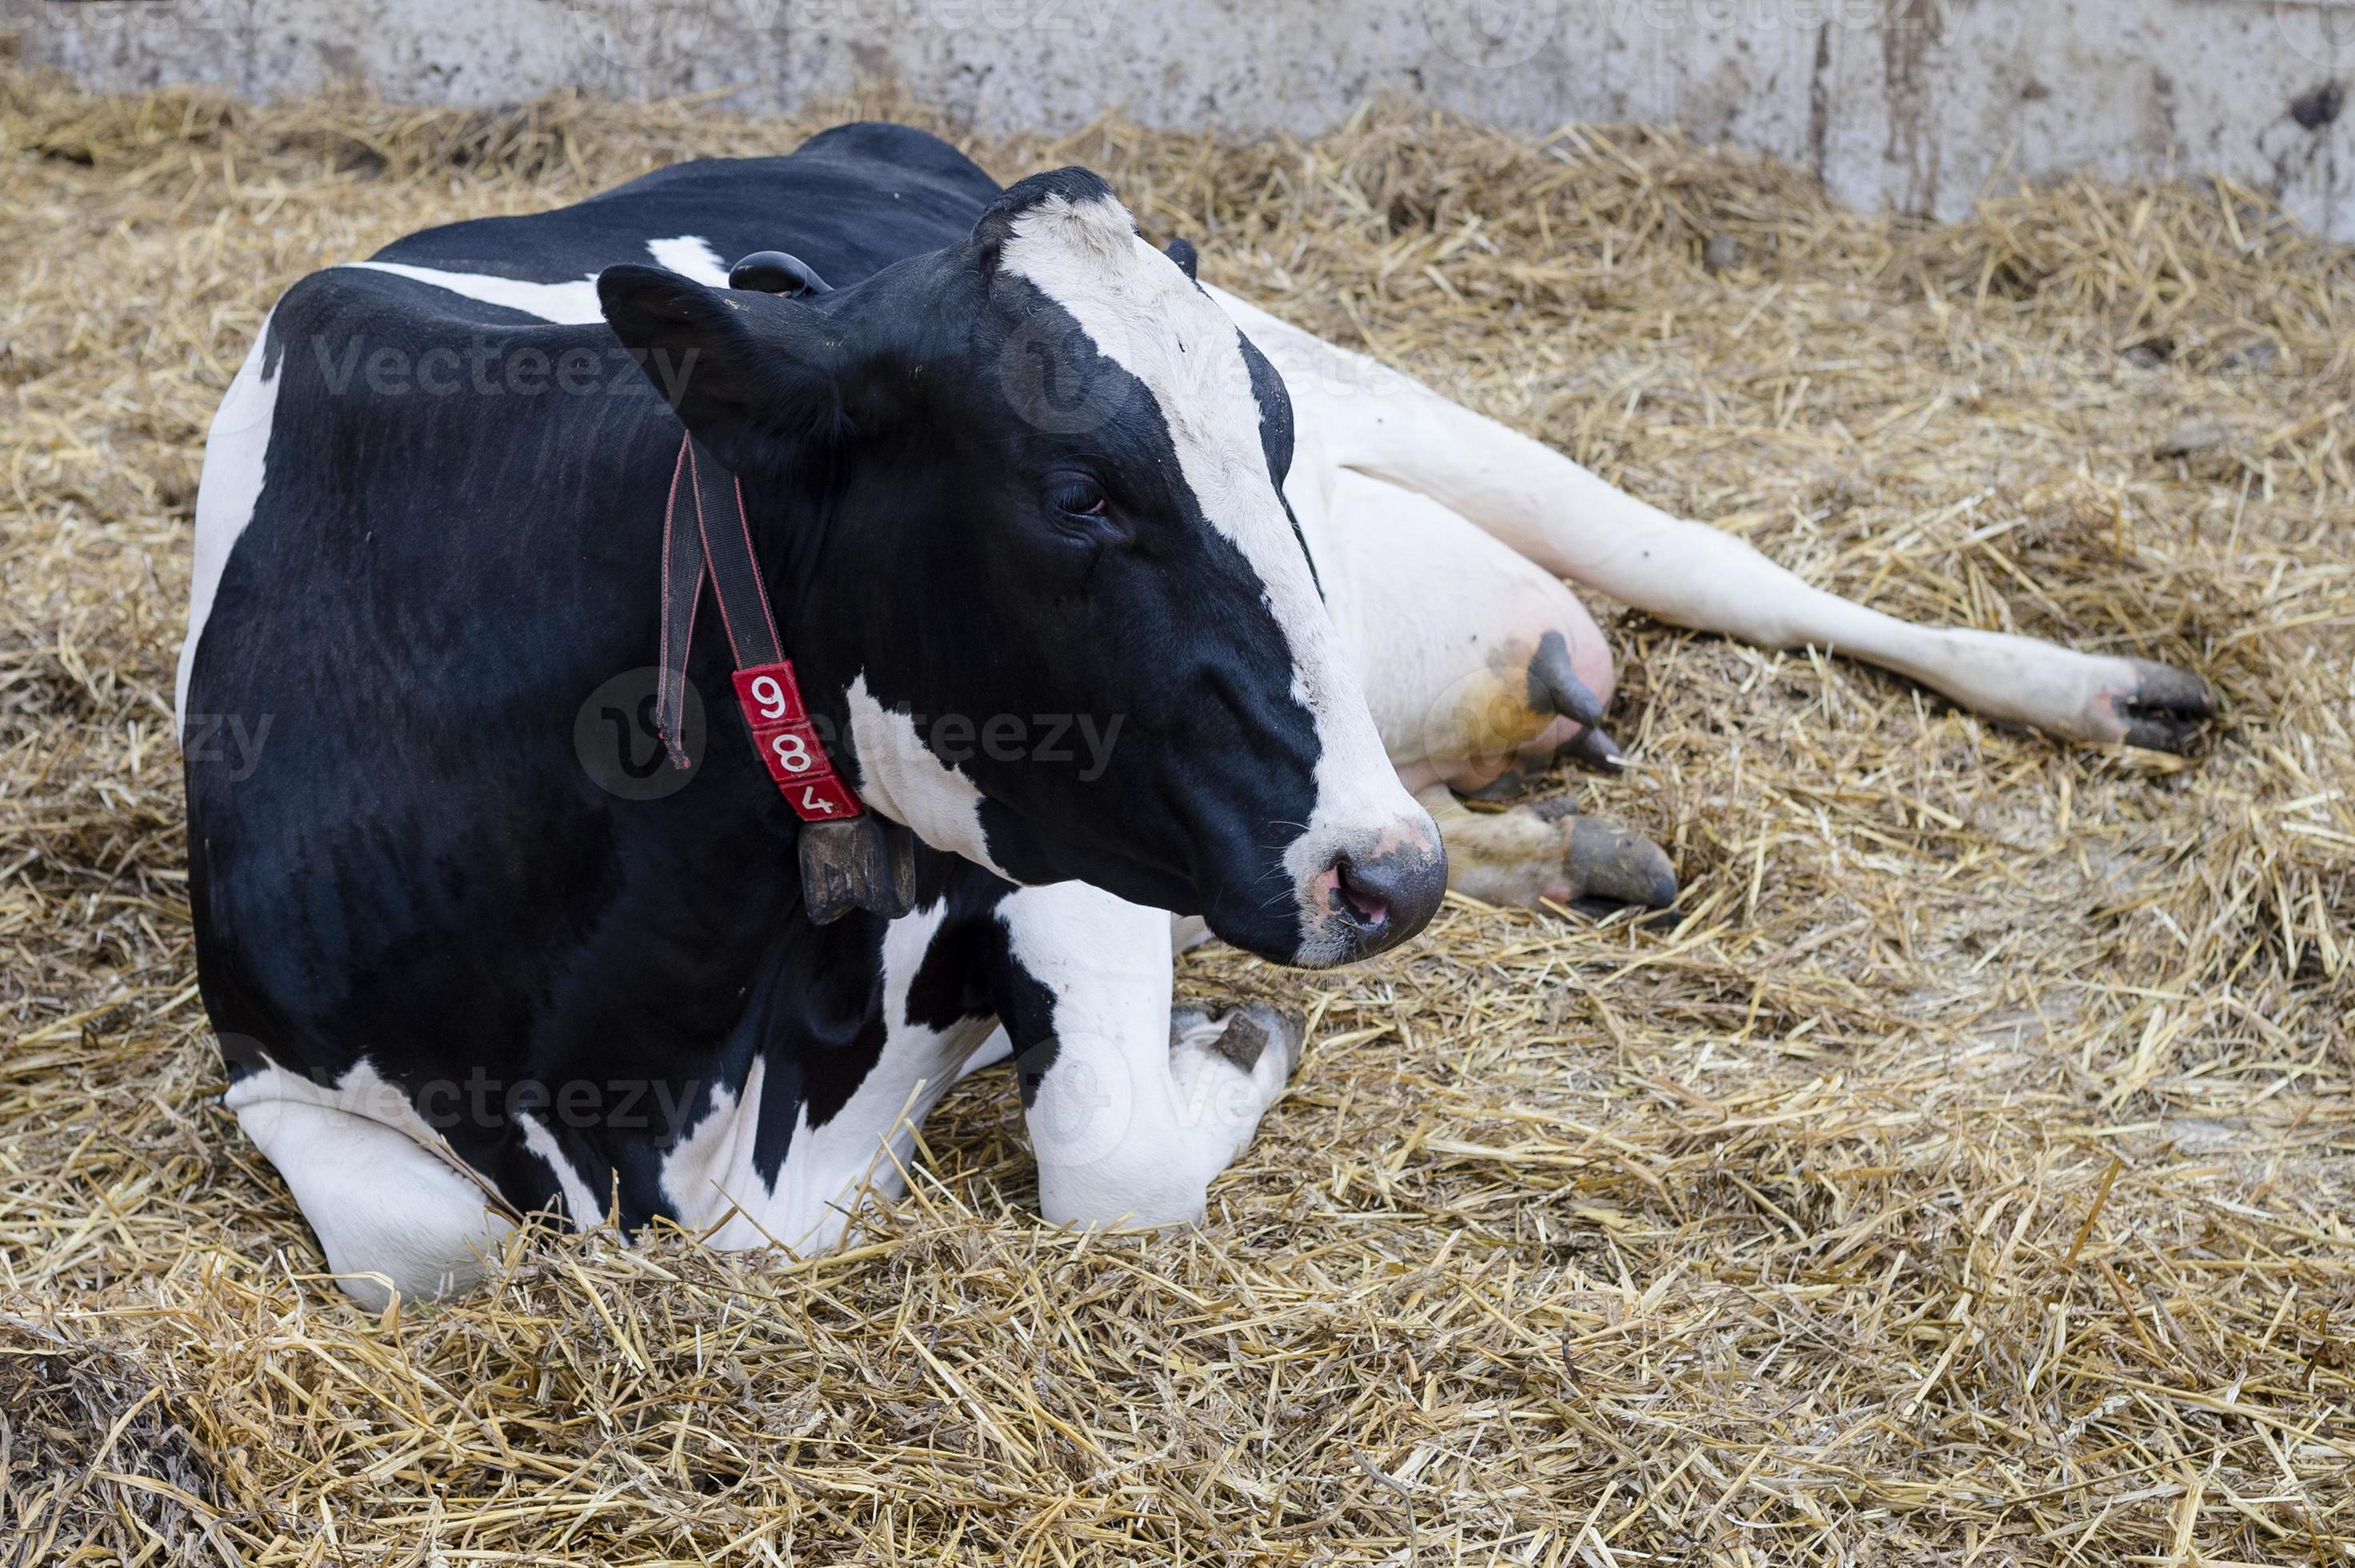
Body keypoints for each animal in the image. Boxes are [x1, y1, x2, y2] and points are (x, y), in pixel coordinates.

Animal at [180, 123, 2213, 1307]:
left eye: (1265, 450)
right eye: (1080, 497)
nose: (1382, 883)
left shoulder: (1069, 851)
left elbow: (1106, 1153)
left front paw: (1224, 1050)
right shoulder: (277, 1069)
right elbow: (426, 1248)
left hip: (1411, 413)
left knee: (1720, 564)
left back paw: (2102, 688)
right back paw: (1552, 846)